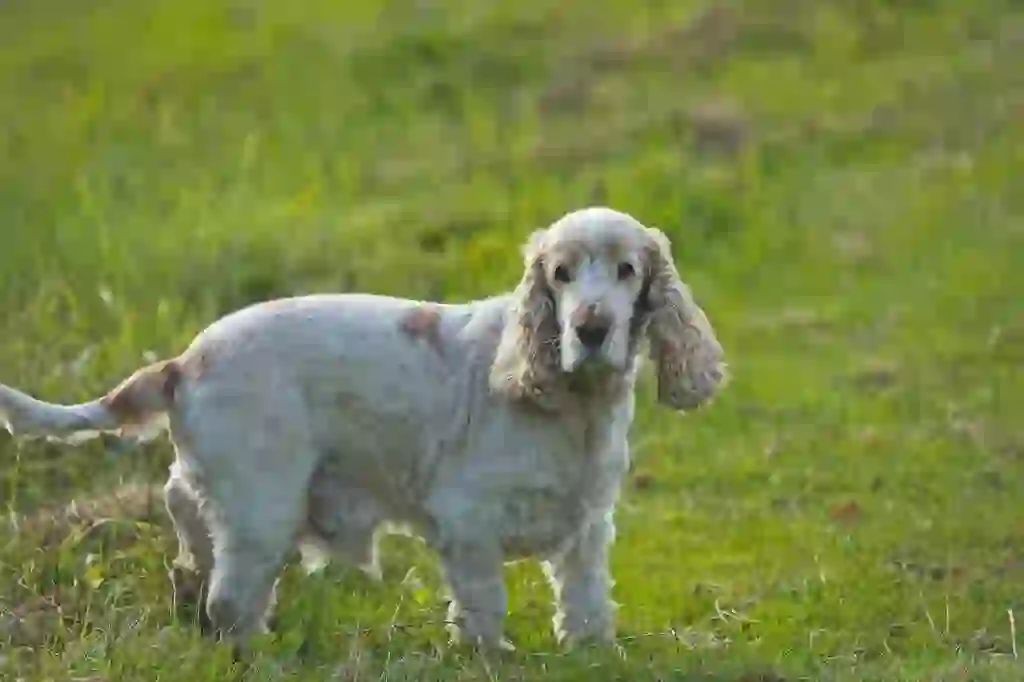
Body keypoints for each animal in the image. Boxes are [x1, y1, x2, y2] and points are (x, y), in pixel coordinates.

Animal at [0, 205, 729, 647]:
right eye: (561, 274)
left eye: (627, 270)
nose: (591, 328)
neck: (574, 403)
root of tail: (182, 362)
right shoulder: (469, 525)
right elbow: (484, 610)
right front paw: (491, 653)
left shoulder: (587, 527)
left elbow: (585, 605)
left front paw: (590, 650)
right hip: (261, 510)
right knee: (232, 603)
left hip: (210, 501)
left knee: (193, 565)